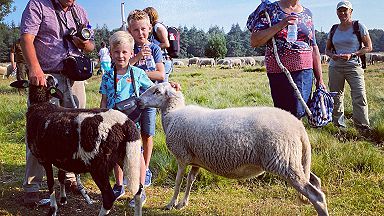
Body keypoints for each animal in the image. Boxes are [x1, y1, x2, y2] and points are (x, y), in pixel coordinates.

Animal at [12, 75, 144, 215]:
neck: (40, 105)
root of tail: (125, 123)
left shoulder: (45, 158)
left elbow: (50, 183)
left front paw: (53, 209)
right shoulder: (62, 157)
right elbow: (61, 177)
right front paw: (63, 199)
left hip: (98, 165)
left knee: (109, 197)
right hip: (127, 156)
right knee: (138, 190)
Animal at [140, 83, 328, 216]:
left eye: (157, 91)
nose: (138, 101)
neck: (173, 115)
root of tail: (299, 127)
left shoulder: (182, 156)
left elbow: (179, 182)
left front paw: (171, 204)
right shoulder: (195, 159)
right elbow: (190, 181)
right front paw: (182, 204)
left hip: (283, 160)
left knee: (316, 195)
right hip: (293, 159)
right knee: (315, 181)